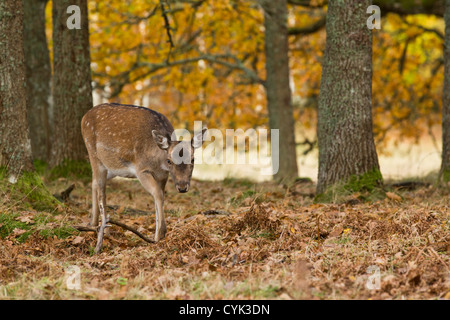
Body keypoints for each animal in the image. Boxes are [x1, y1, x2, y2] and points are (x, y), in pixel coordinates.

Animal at [81, 102, 207, 252]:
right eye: (169, 161)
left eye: (193, 159)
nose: (182, 187)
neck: (158, 162)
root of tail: (84, 117)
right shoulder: (141, 170)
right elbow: (157, 194)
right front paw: (160, 235)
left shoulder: (162, 176)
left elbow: (160, 197)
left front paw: (159, 234)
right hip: (93, 154)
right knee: (101, 190)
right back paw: (104, 231)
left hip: (110, 169)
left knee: (94, 182)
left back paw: (92, 224)